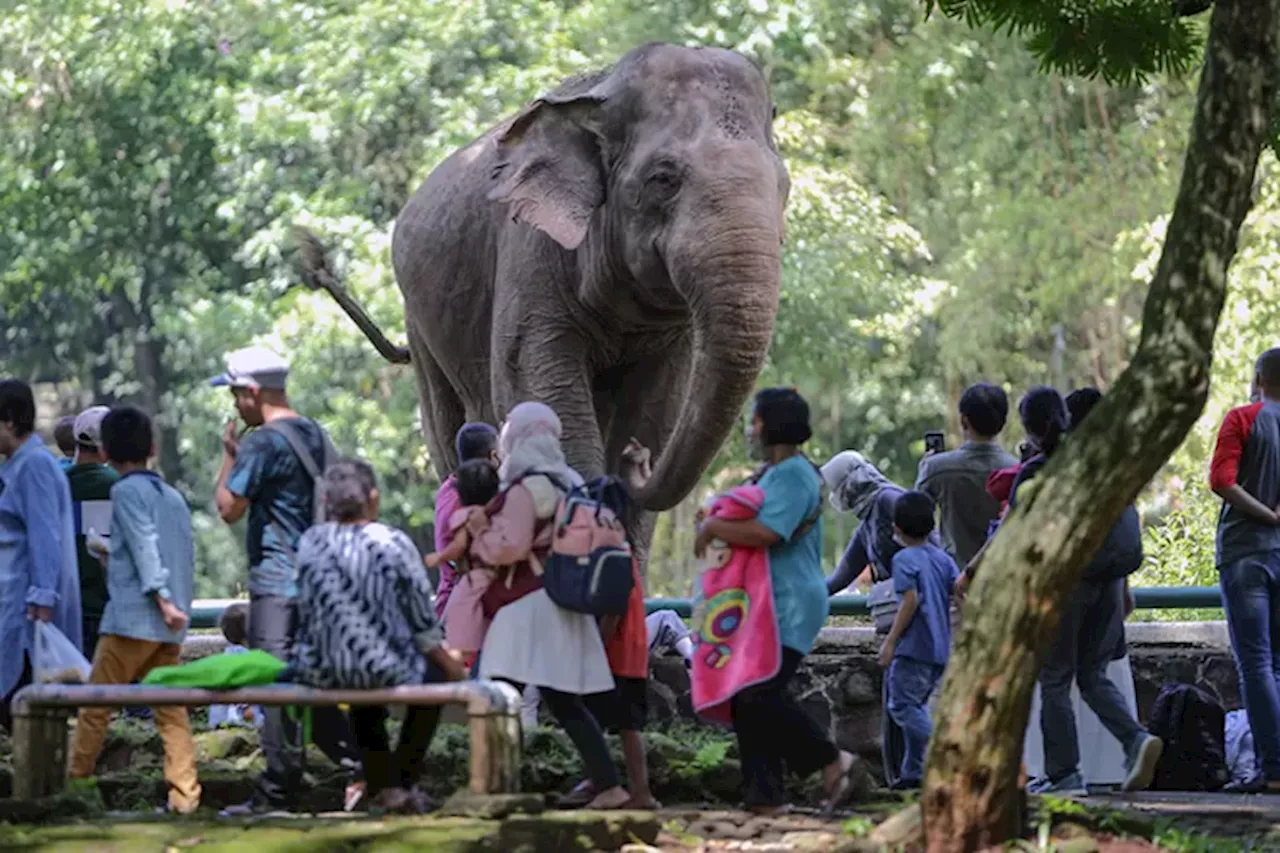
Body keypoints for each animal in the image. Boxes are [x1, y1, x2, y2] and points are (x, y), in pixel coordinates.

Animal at [304, 41, 783, 558]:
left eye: (783, 184)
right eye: (663, 178)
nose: (637, 461)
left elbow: (658, 408)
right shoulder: (530, 252)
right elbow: (537, 386)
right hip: (422, 326)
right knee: (448, 430)